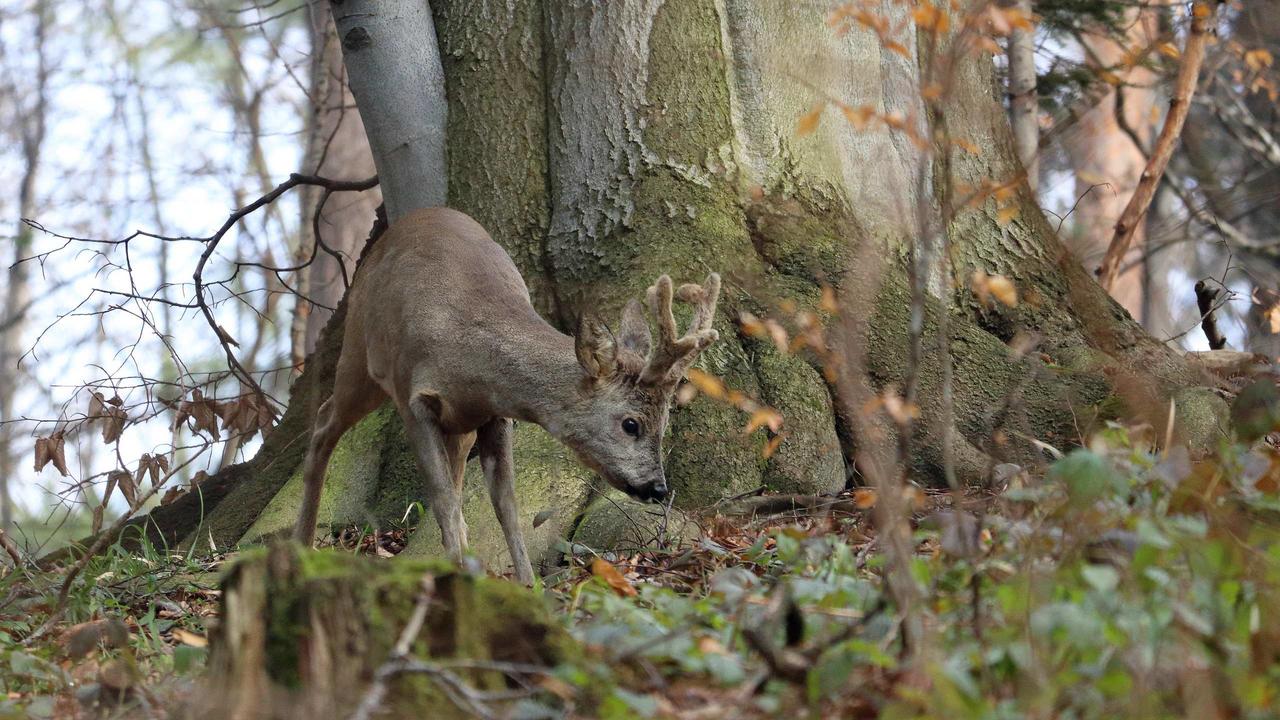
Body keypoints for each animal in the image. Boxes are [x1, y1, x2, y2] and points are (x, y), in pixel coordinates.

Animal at [293, 206, 727, 584]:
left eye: (665, 422)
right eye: (631, 424)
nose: (658, 488)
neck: (469, 355)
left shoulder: (494, 414)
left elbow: (505, 506)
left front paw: (526, 585)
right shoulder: (412, 396)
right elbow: (444, 499)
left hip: (457, 424)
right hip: (359, 351)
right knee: (325, 421)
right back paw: (303, 542)